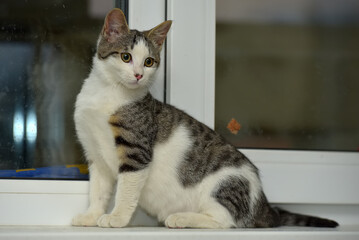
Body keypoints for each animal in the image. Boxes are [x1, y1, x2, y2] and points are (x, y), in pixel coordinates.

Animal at [71, 7, 338, 229]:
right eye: (125, 57)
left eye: (148, 61)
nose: (138, 75)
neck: (108, 94)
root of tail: (263, 204)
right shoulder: (95, 154)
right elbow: (98, 190)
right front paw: (91, 216)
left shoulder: (136, 150)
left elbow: (127, 188)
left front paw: (117, 217)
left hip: (223, 184)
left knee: (225, 221)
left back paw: (181, 218)